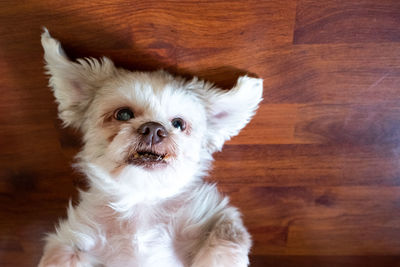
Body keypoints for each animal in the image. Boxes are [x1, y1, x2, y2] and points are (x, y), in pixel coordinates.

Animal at [37, 28, 262, 266]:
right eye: (123, 114)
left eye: (178, 124)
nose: (154, 129)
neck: (142, 202)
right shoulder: (75, 237)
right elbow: (60, 255)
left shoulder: (212, 215)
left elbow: (228, 234)